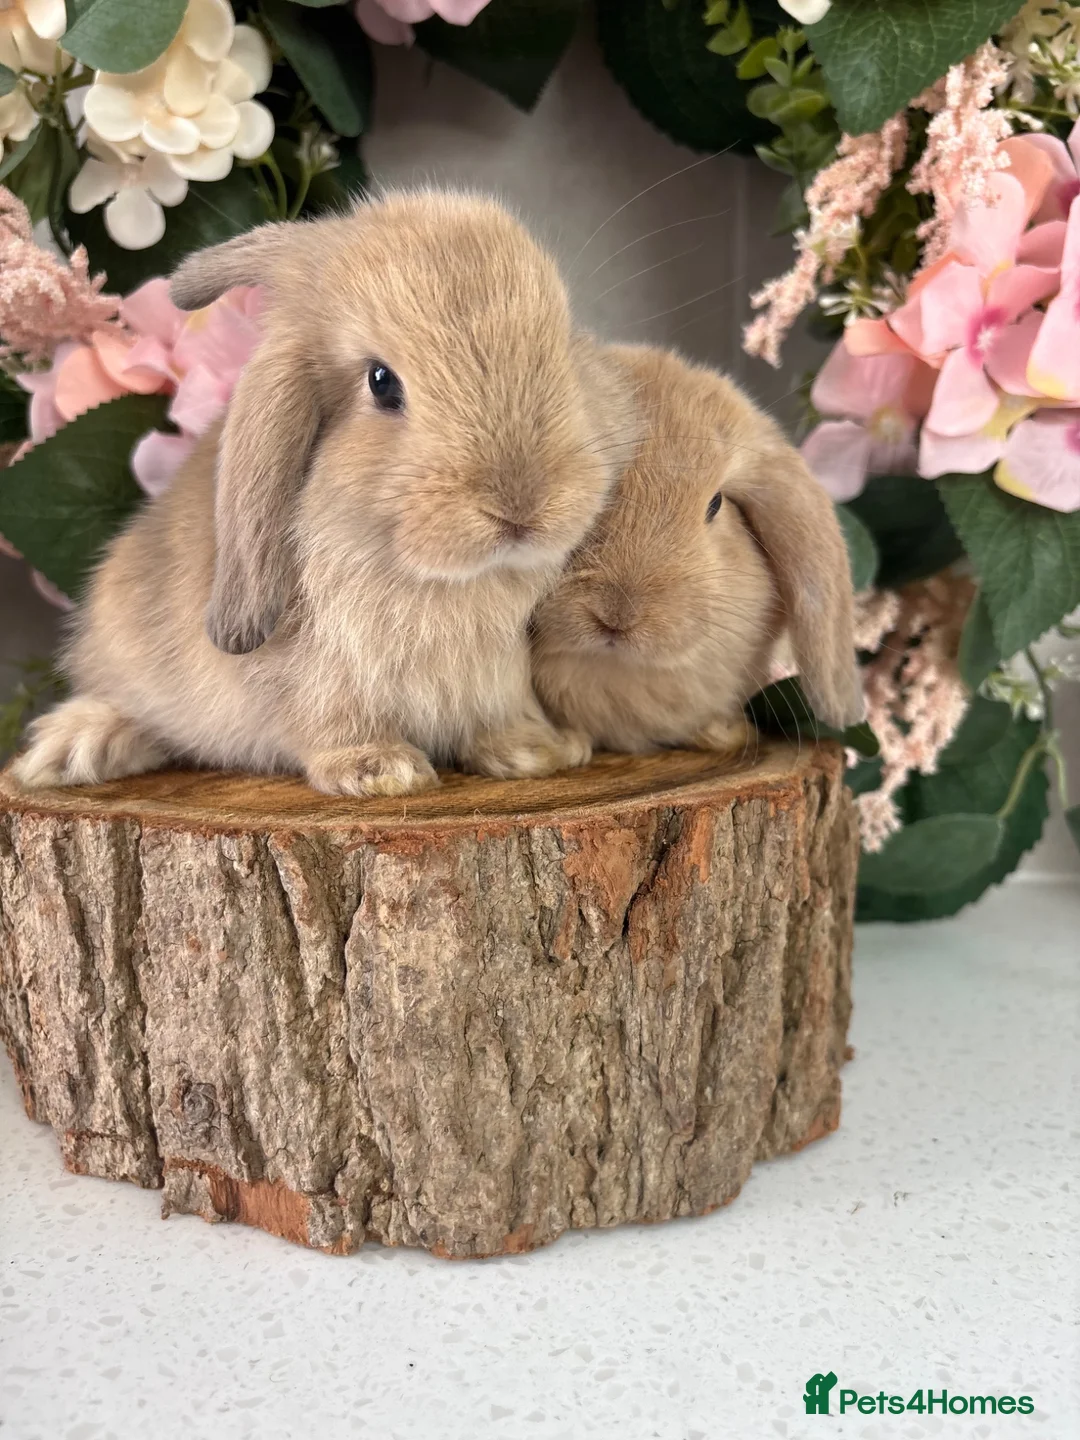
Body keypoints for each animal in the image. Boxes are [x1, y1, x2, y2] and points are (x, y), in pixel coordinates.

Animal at [13, 191, 637, 798]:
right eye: (381, 383)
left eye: (562, 345)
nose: (521, 509)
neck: (441, 580)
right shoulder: (314, 677)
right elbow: (328, 722)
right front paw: (381, 770)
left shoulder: (501, 679)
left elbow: (500, 719)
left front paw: (541, 751)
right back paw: (73, 749)